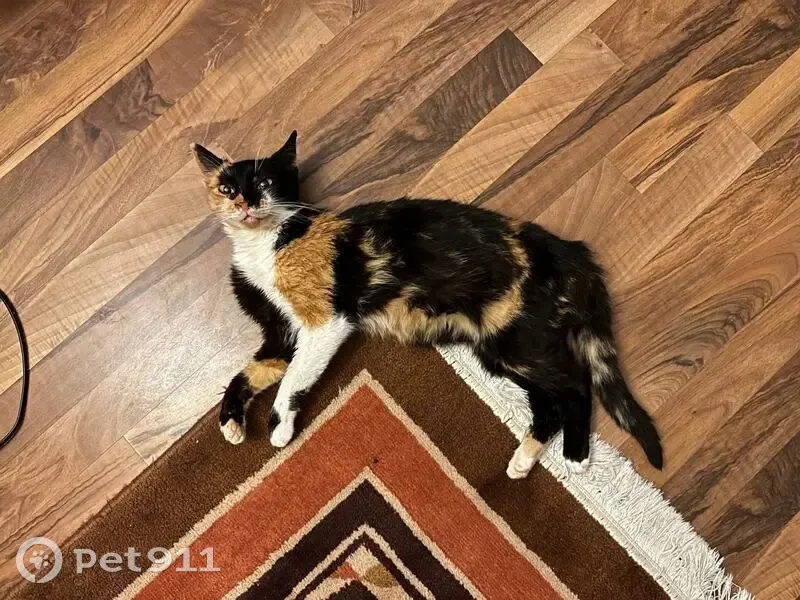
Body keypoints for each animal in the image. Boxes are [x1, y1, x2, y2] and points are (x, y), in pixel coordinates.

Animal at [191, 132, 663, 478]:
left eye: (266, 183)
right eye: (227, 187)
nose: (245, 203)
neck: (266, 244)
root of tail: (570, 250)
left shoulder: (326, 322)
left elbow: (293, 379)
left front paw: (279, 426)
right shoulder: (280, 334)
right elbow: (249, 373)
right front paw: (231, 423)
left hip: (519, 342)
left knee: (576, 384)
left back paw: (576, 457)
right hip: (500, 350)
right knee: (552, 401)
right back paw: (523, 461)